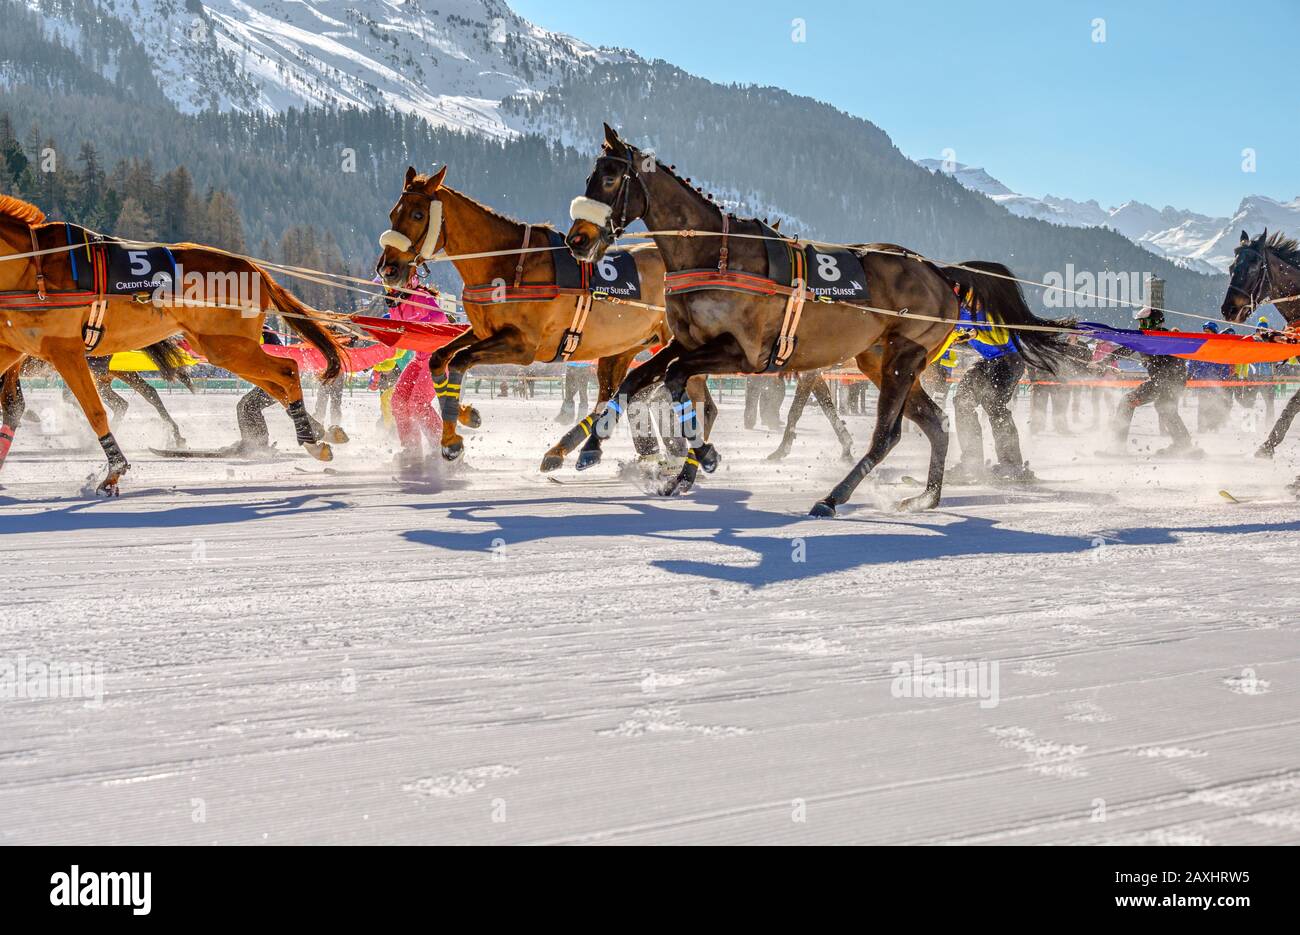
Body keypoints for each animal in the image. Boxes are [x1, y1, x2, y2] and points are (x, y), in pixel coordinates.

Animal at [0, 195, 345, 494]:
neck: (34, 267)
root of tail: (254, 268)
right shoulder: (14, 350)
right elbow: (14, 405)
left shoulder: (65, 351)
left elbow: (94, 411)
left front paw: (114, 471)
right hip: (223, 350)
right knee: (275, 384)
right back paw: (316, 434)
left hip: (229, 347)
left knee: (286, 370)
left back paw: (310, 438)